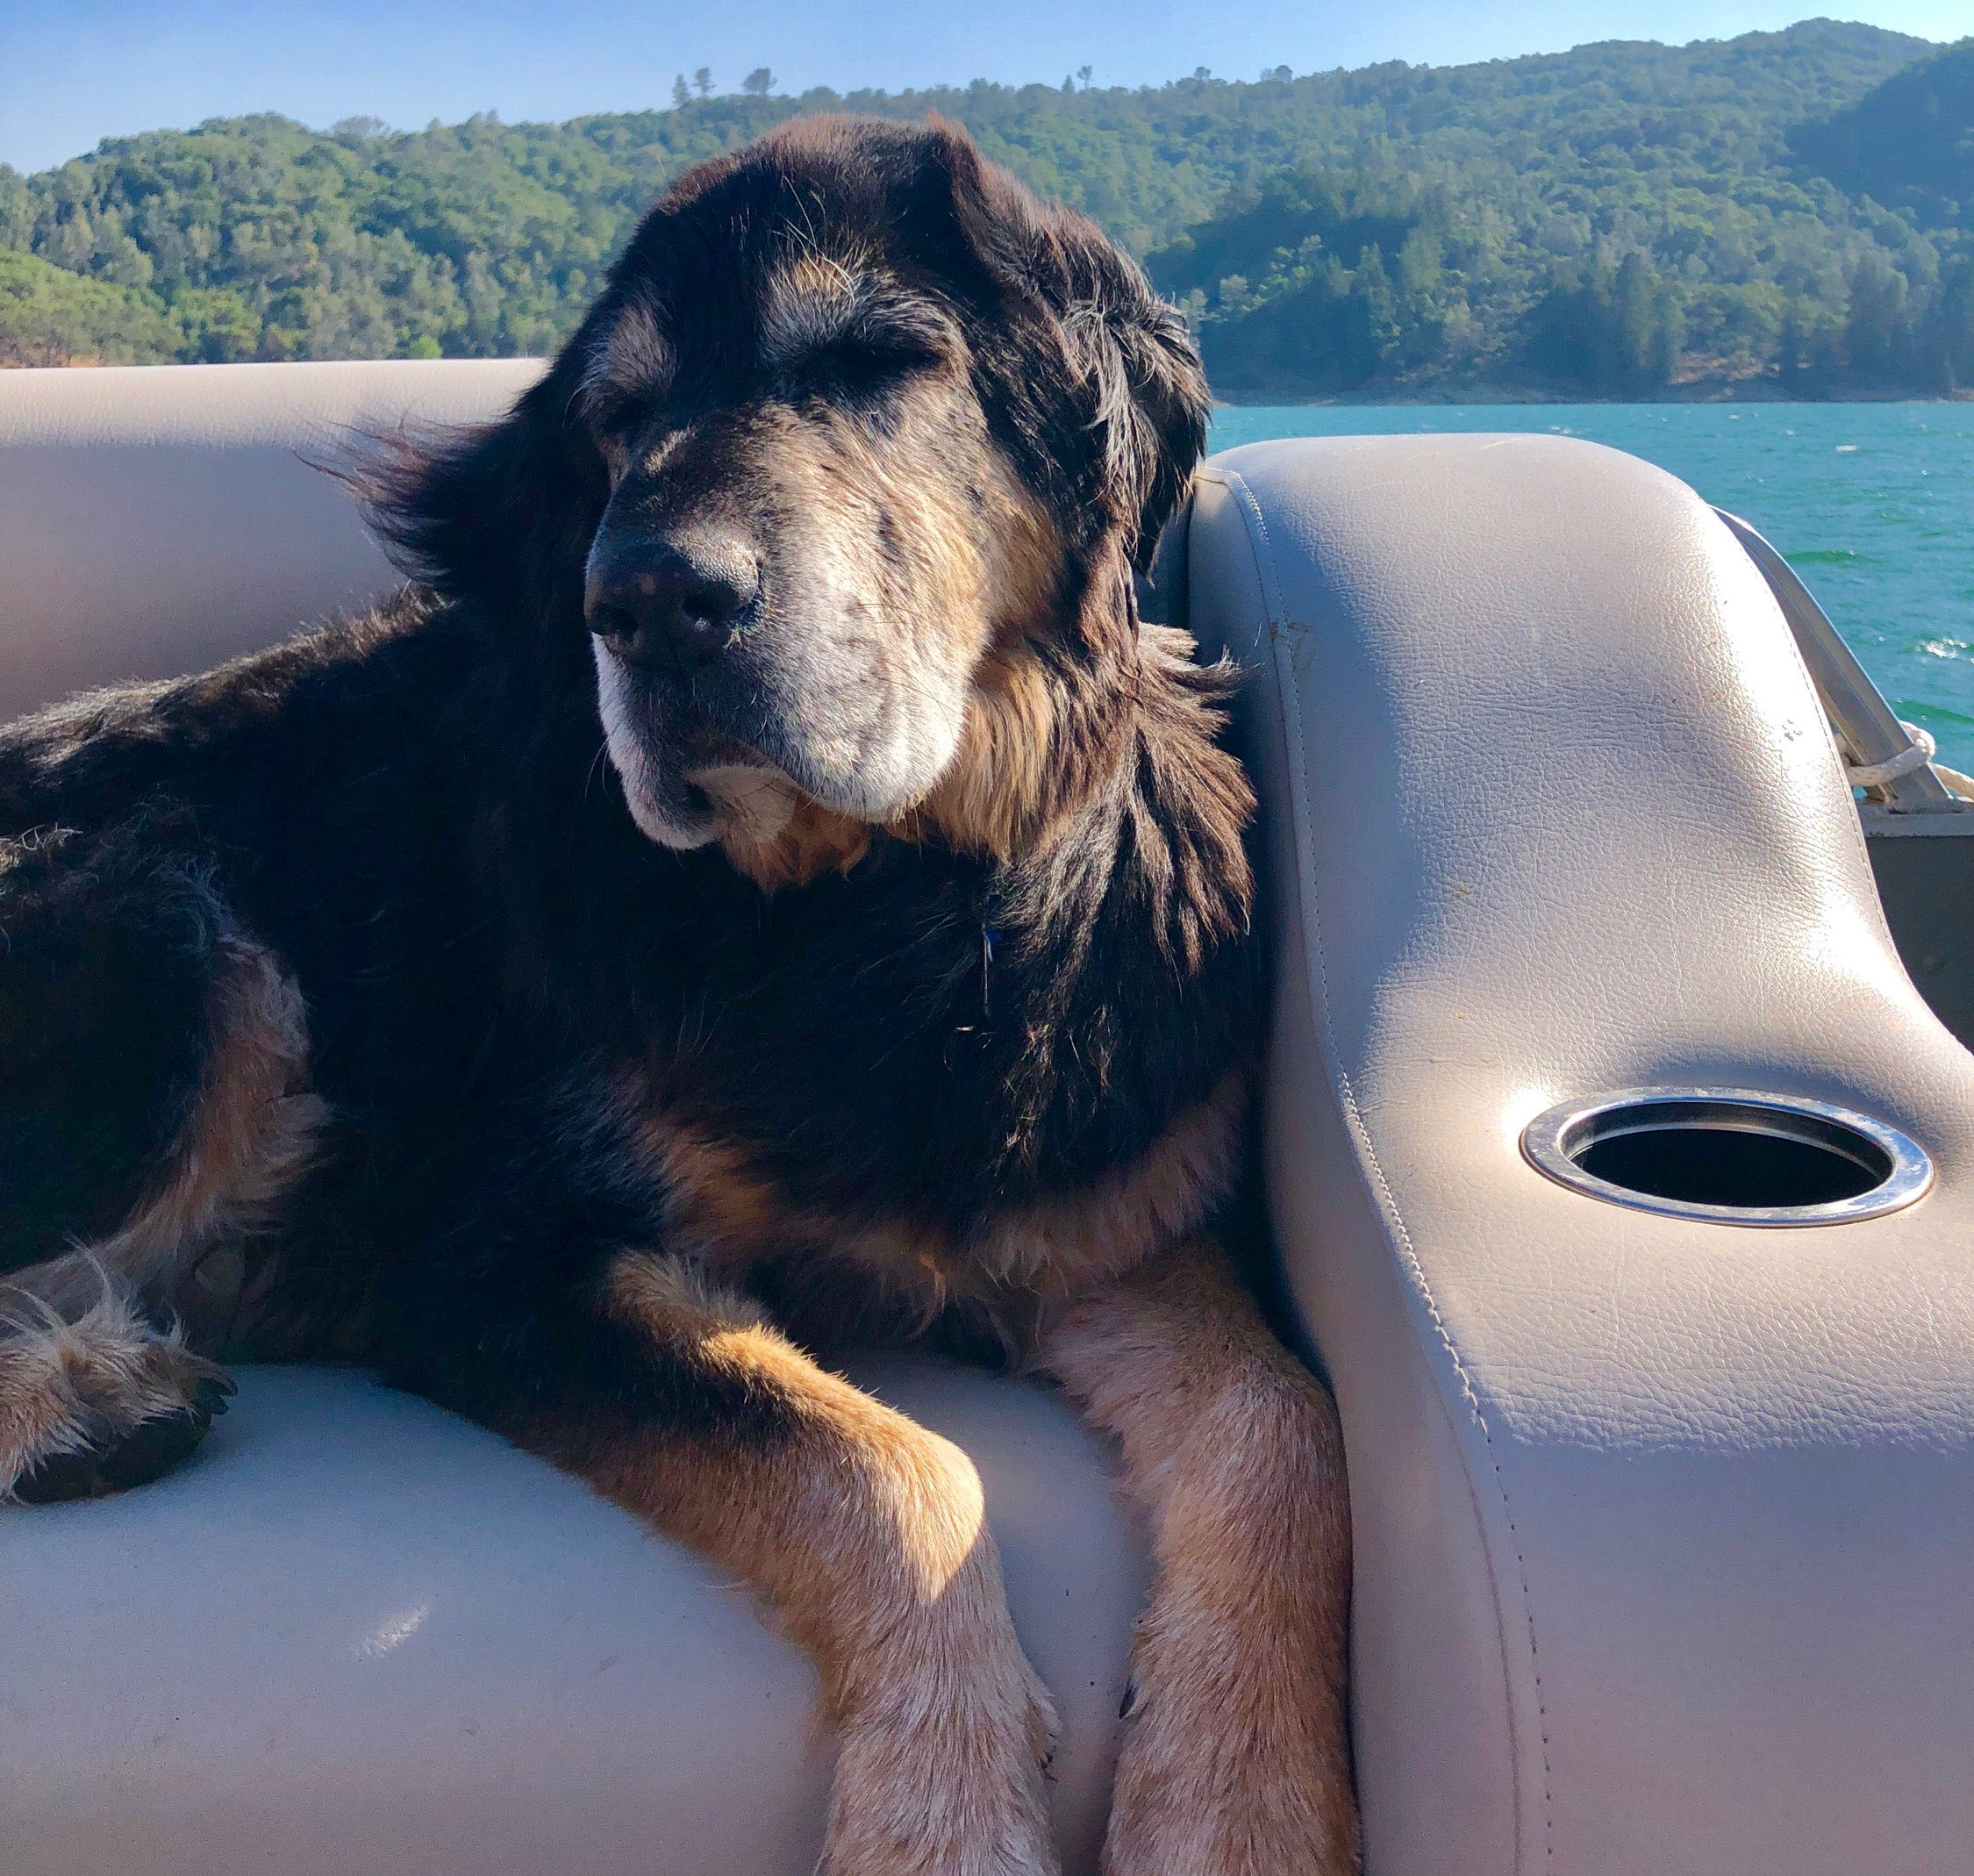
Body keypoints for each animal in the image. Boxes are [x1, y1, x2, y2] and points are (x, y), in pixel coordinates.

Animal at [0, 120, 1358, 1876]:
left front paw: (1239, 1805)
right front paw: (939, 1813)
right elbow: (892, 1461)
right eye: (619, 418)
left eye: (880, 362)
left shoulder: (1098, 1211)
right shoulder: (494, 1256)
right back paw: (73, 1397)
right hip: (178, 950)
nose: (644, 601)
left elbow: (1281, 1425)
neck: (876, 909)